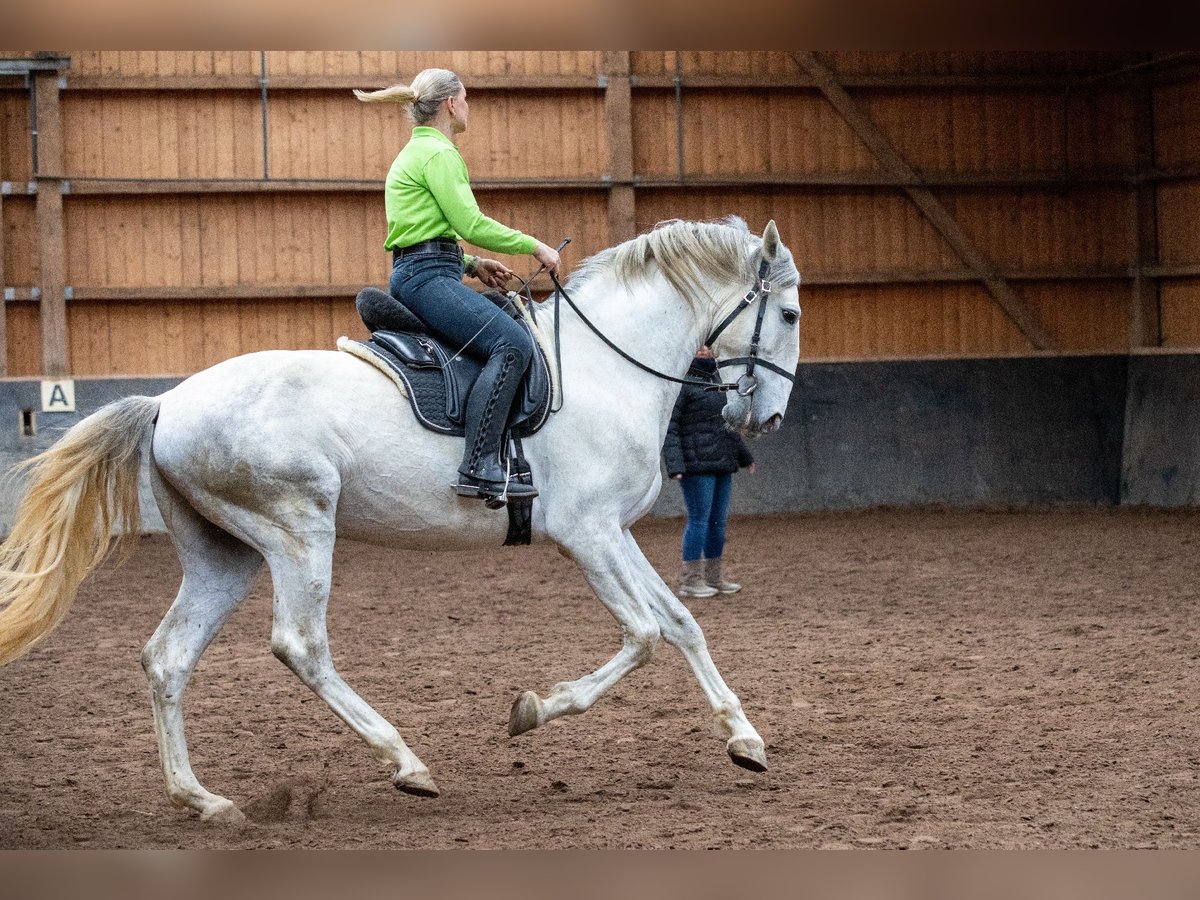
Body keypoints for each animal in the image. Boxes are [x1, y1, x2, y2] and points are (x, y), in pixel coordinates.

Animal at [4, 217, 806, 825]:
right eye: (791, 314)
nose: (766, 420)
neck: (606, 369)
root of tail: (169, 401)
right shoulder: (586, 534)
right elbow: (642, 635)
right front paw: (532, 709)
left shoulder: (616, 531)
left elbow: (681, 624)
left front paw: (745, 739)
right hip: (299, 532)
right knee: (300, 645)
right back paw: (406, 762)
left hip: (224, 555)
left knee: (169, 657)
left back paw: (204, 800)